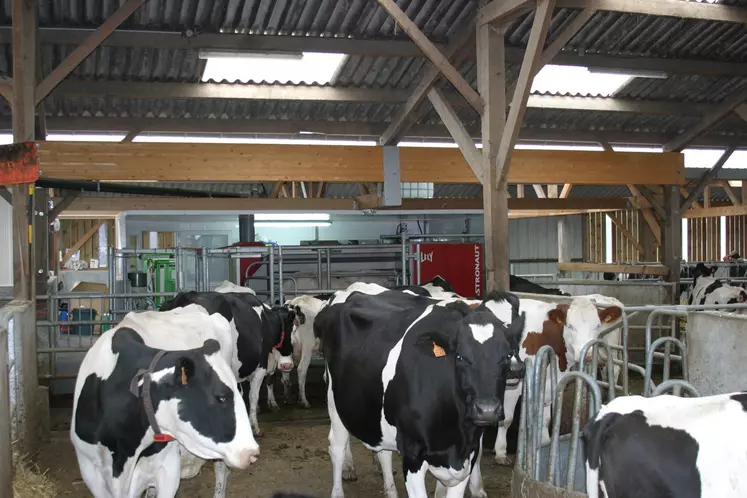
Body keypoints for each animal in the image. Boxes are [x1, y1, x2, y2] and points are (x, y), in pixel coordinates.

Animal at [316, 288, 524, 498]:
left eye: (506, 355)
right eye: (460, 357)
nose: (487, 410)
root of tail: (354, 293)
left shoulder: (466, 457)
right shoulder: (412, 454)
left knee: (383, 452)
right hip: (336, 402)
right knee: (337, 447)